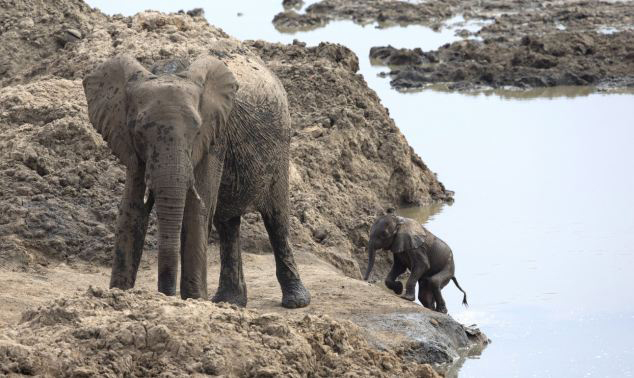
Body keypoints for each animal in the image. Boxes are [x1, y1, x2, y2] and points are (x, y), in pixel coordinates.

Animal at [82, 47, 310, 308]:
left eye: (196, 130)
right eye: (138, 130)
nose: (165, 295)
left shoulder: (214, 137)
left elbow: (196, 209)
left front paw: (194, 300)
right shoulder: (131, 145)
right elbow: (131, 209)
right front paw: (117, 295)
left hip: (281, 146)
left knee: (276, 219)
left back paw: (295, 301)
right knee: (227, 224)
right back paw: (229, 302)